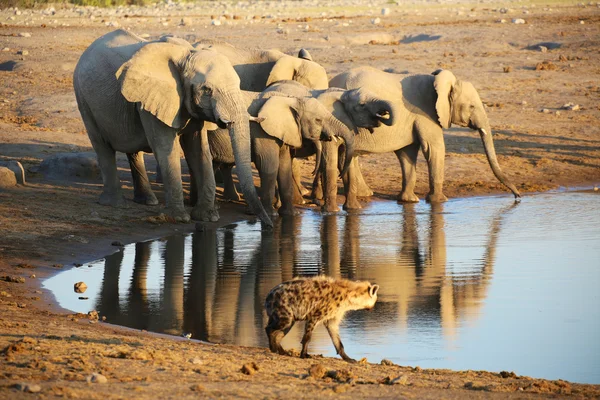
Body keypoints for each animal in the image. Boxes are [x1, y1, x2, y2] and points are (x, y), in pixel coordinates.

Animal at [72, 29, 272, 225]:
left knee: (133, 150)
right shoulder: (152, 99)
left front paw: (208, 217)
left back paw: (148, 201)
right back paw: (115, 203)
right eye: (206, 90)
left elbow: (199, 150)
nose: (268, 224)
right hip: (84, 99)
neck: (187, 54)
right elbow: (166, 148)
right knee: (102, 146)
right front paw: (179, 218)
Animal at [206, 81, 356, 217]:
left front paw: (291, 214)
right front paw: (272, 214)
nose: (339, 175)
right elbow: (268, 164)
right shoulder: (262, 131)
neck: (289, 100)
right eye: (318, 120)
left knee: (212, 165)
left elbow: (284, 165)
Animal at [318, 67, 524, 211]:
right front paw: (440, 201)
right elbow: (434, 149)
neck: (440, 82)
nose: (518, 197)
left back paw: (365, 194)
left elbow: (407, 153)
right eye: (472, 106)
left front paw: (409, 201)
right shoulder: (425, 113)